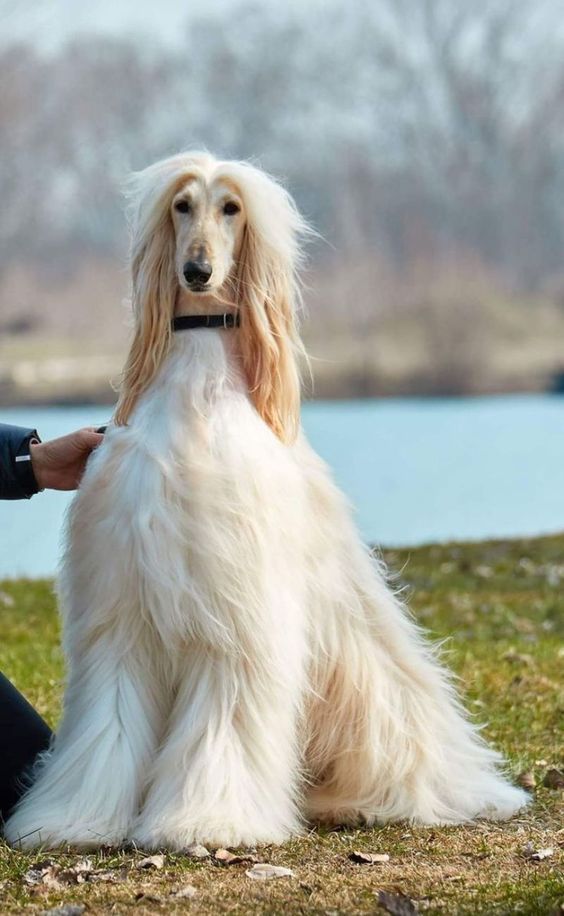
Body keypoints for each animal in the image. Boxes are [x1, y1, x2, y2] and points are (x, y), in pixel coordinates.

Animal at [4, 154, 528, 848]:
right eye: (182, 206)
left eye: (232, 208)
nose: (197, 271)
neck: (198, 381)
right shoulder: (123, 608)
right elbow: (109, 718)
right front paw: (78, 818)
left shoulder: (236, 608)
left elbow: (223, 715)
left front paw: (208, 819)